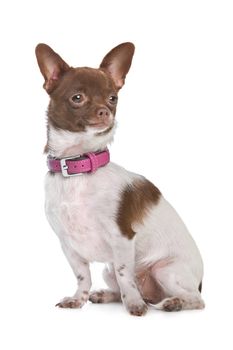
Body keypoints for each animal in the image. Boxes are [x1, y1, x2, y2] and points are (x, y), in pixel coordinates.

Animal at [35, 42, 205, 316]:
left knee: (196, 300)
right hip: (108, 270)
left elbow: (126, 275)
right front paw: (78, 299)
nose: (105, 111)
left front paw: (134, 305)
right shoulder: (68, 246)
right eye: (77, 98)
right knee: (120, 285)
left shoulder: (122, 239)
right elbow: (82, 276)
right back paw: (107, 295)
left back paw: (173, 303)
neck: (79, 169)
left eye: (113, 99)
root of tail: (200, 281)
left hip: (166, 270)